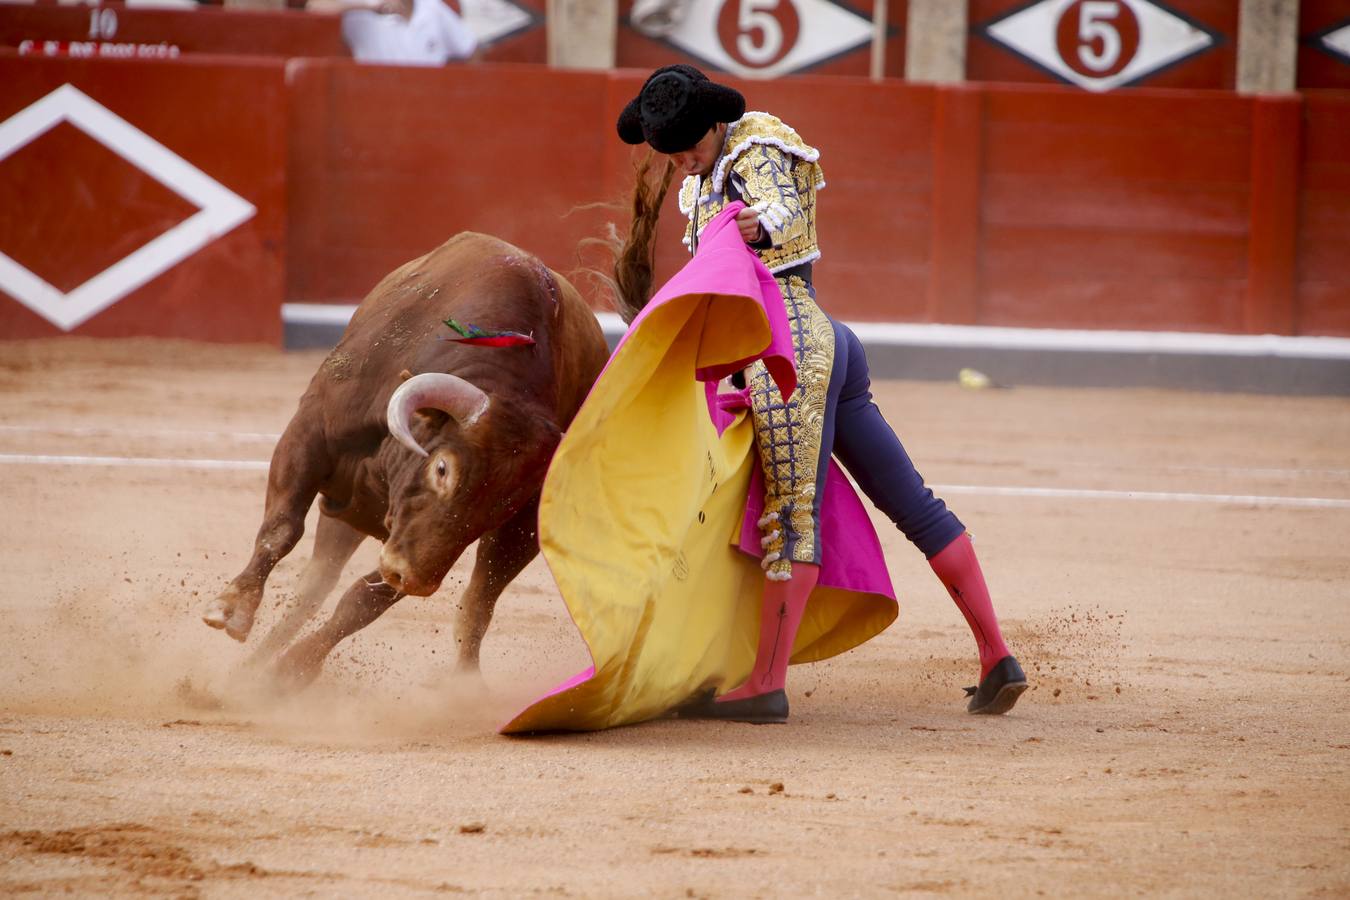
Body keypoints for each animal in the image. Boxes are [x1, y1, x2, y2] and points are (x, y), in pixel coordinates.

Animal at [198, 234, 607, 690]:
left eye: (507, 504)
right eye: (442, 468)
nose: (413, 578)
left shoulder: (434, 544)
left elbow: (362, 601)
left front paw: (293, 668)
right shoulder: (308, 434)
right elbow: (281, 530)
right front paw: (231, 609)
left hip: (511, 542)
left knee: (476, 602)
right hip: (346, 515)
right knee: (312, 587)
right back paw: (247, 669)